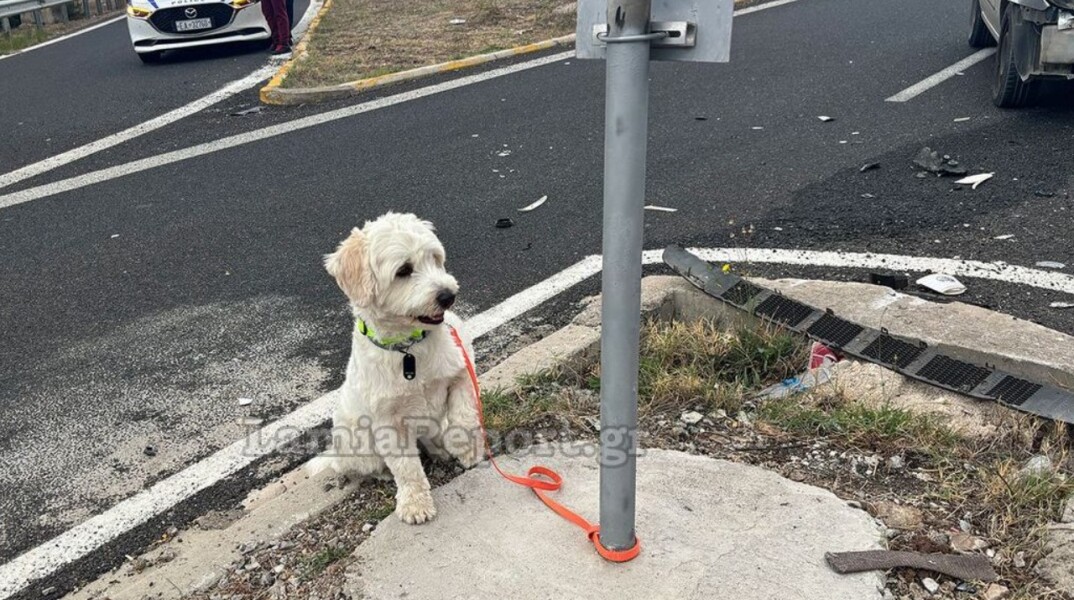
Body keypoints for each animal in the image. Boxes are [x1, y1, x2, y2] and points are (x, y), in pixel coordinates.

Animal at [313, 213, 483, 523]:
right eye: (403, 270)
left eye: (435, 258)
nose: (448, 295)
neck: (410, 348)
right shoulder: (387, 422)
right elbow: (405, 467)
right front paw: (415, 504)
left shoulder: (462, 369)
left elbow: (464, 415)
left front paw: (464, 449)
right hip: (357, 442)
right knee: (363, 466)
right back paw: (381, 473)